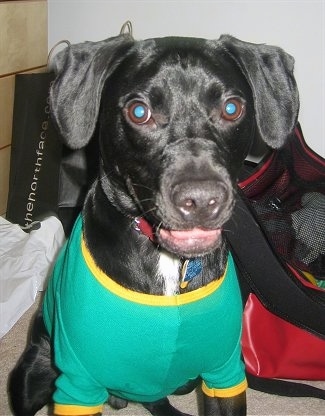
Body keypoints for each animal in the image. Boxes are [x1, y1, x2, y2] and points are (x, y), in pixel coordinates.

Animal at [8, 33, 296, 416]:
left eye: (232, 108)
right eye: (139, 112)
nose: (201, 200)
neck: (169, 264)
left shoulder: (225, 372)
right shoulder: (77, 385)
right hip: (32, 376)